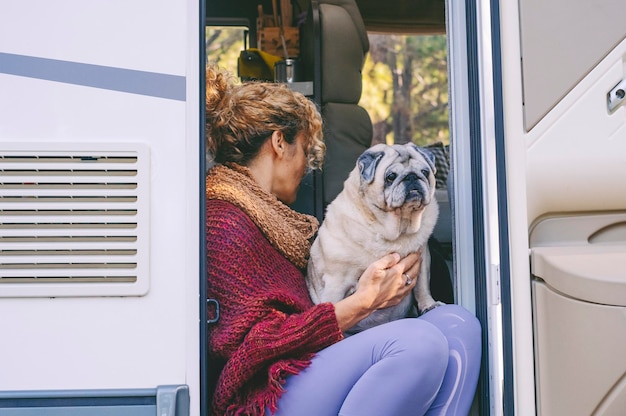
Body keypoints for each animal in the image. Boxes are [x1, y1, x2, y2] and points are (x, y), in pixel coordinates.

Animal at [304, 143, 442, 334]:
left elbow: (422, 287)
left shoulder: (422, 261)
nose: (412, 177)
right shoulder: (336, 282)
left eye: (425, 172)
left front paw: (428, 305)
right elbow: (335, 305)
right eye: (390, 177)